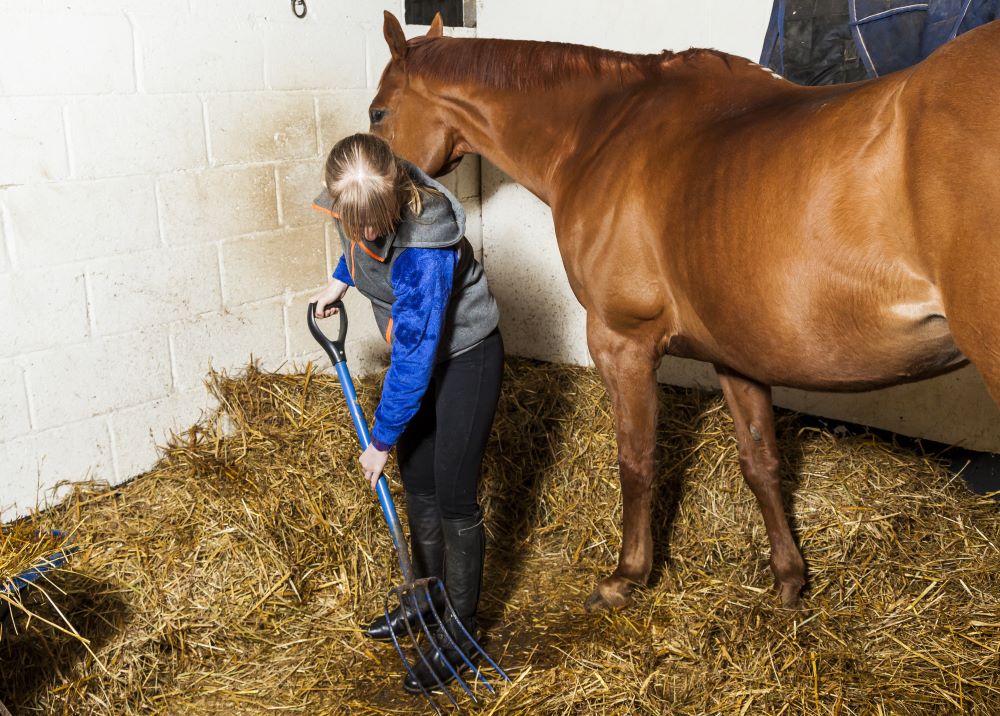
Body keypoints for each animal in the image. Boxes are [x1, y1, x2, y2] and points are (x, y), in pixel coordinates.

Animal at [368, 12, 1000, 608]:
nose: (373, 230)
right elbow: (760, 461)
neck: (601, 133)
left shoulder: (621, 341)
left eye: (378, 113)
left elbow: (636, 459)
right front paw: (789, 578)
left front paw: (627, 576)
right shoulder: (737, 353)